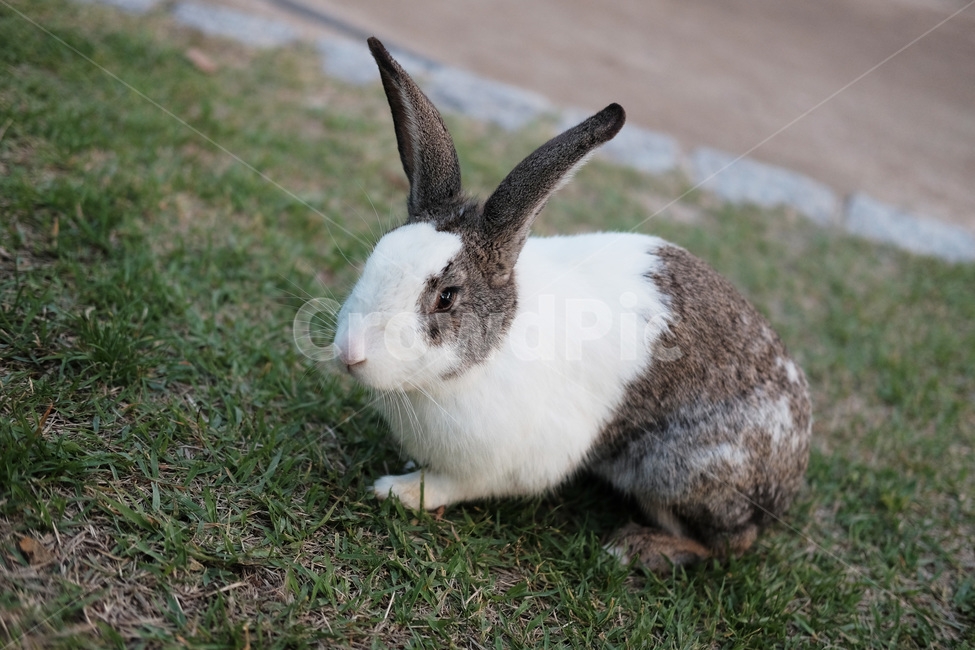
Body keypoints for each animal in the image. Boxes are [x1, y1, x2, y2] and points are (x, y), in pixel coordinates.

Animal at [330, 37, 812, 572]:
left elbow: (445, 486)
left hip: (677, 471)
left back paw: (636, 546)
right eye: (377, 256)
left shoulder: (492, 465)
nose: (349, 353)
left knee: (730, 543)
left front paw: (393, 490)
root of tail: (788, 480)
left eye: (446, 296)